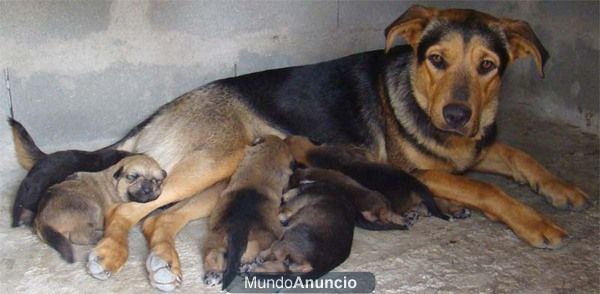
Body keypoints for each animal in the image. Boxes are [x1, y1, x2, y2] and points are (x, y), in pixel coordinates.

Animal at [35, 154, 166, 264]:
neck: (114, 182)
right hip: (92, 207)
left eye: (156, 181)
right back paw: (100, 235)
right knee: (78, 236)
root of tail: (41, 220)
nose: (148, 189)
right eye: (132, 177)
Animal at [253, 167, 408, 276]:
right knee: (282, 265)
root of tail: (317, 264)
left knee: (277, 251)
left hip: (289, 237)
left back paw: (258, 263)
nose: (282, 196)